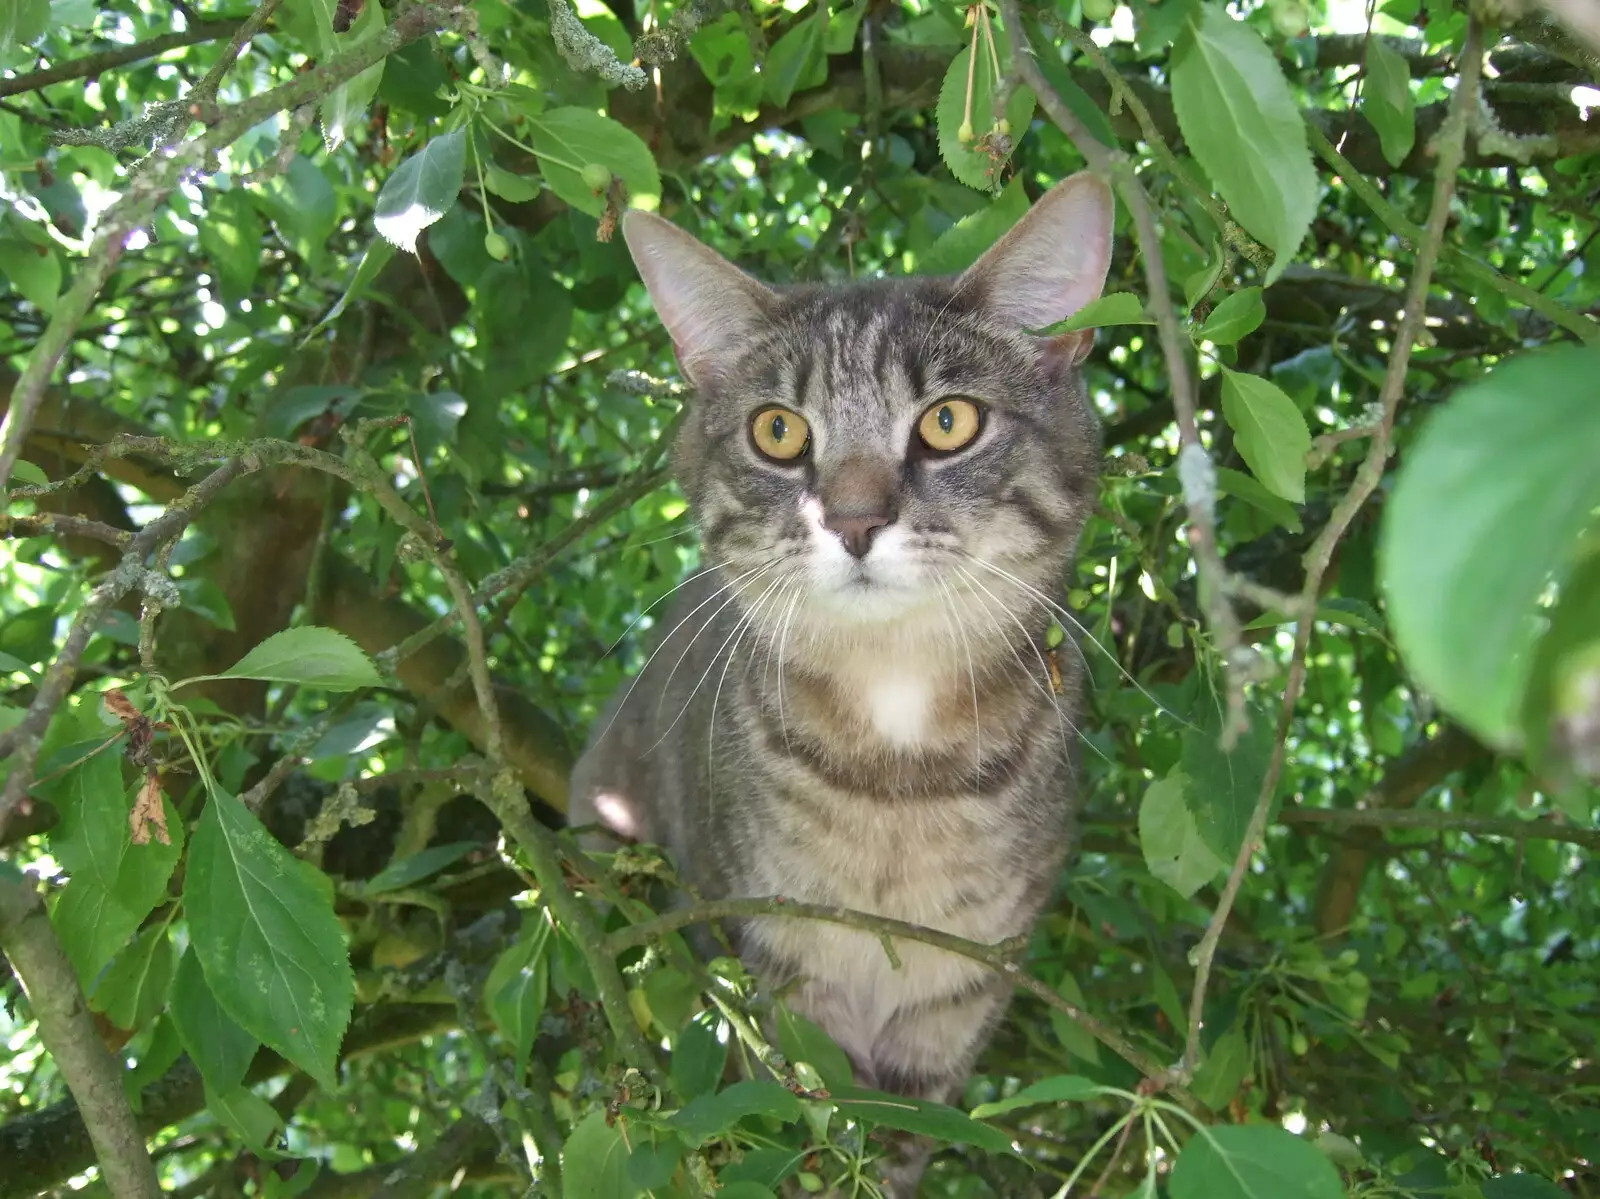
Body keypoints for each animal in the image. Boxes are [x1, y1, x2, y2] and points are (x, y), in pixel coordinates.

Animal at [572, 172, 1113, 1190]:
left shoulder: (956, 1002)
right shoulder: (767, 966)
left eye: (948, 420)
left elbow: (890, 1143)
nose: (855, 519)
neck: (896, 783)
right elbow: (805, 1129)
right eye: (779, 431)